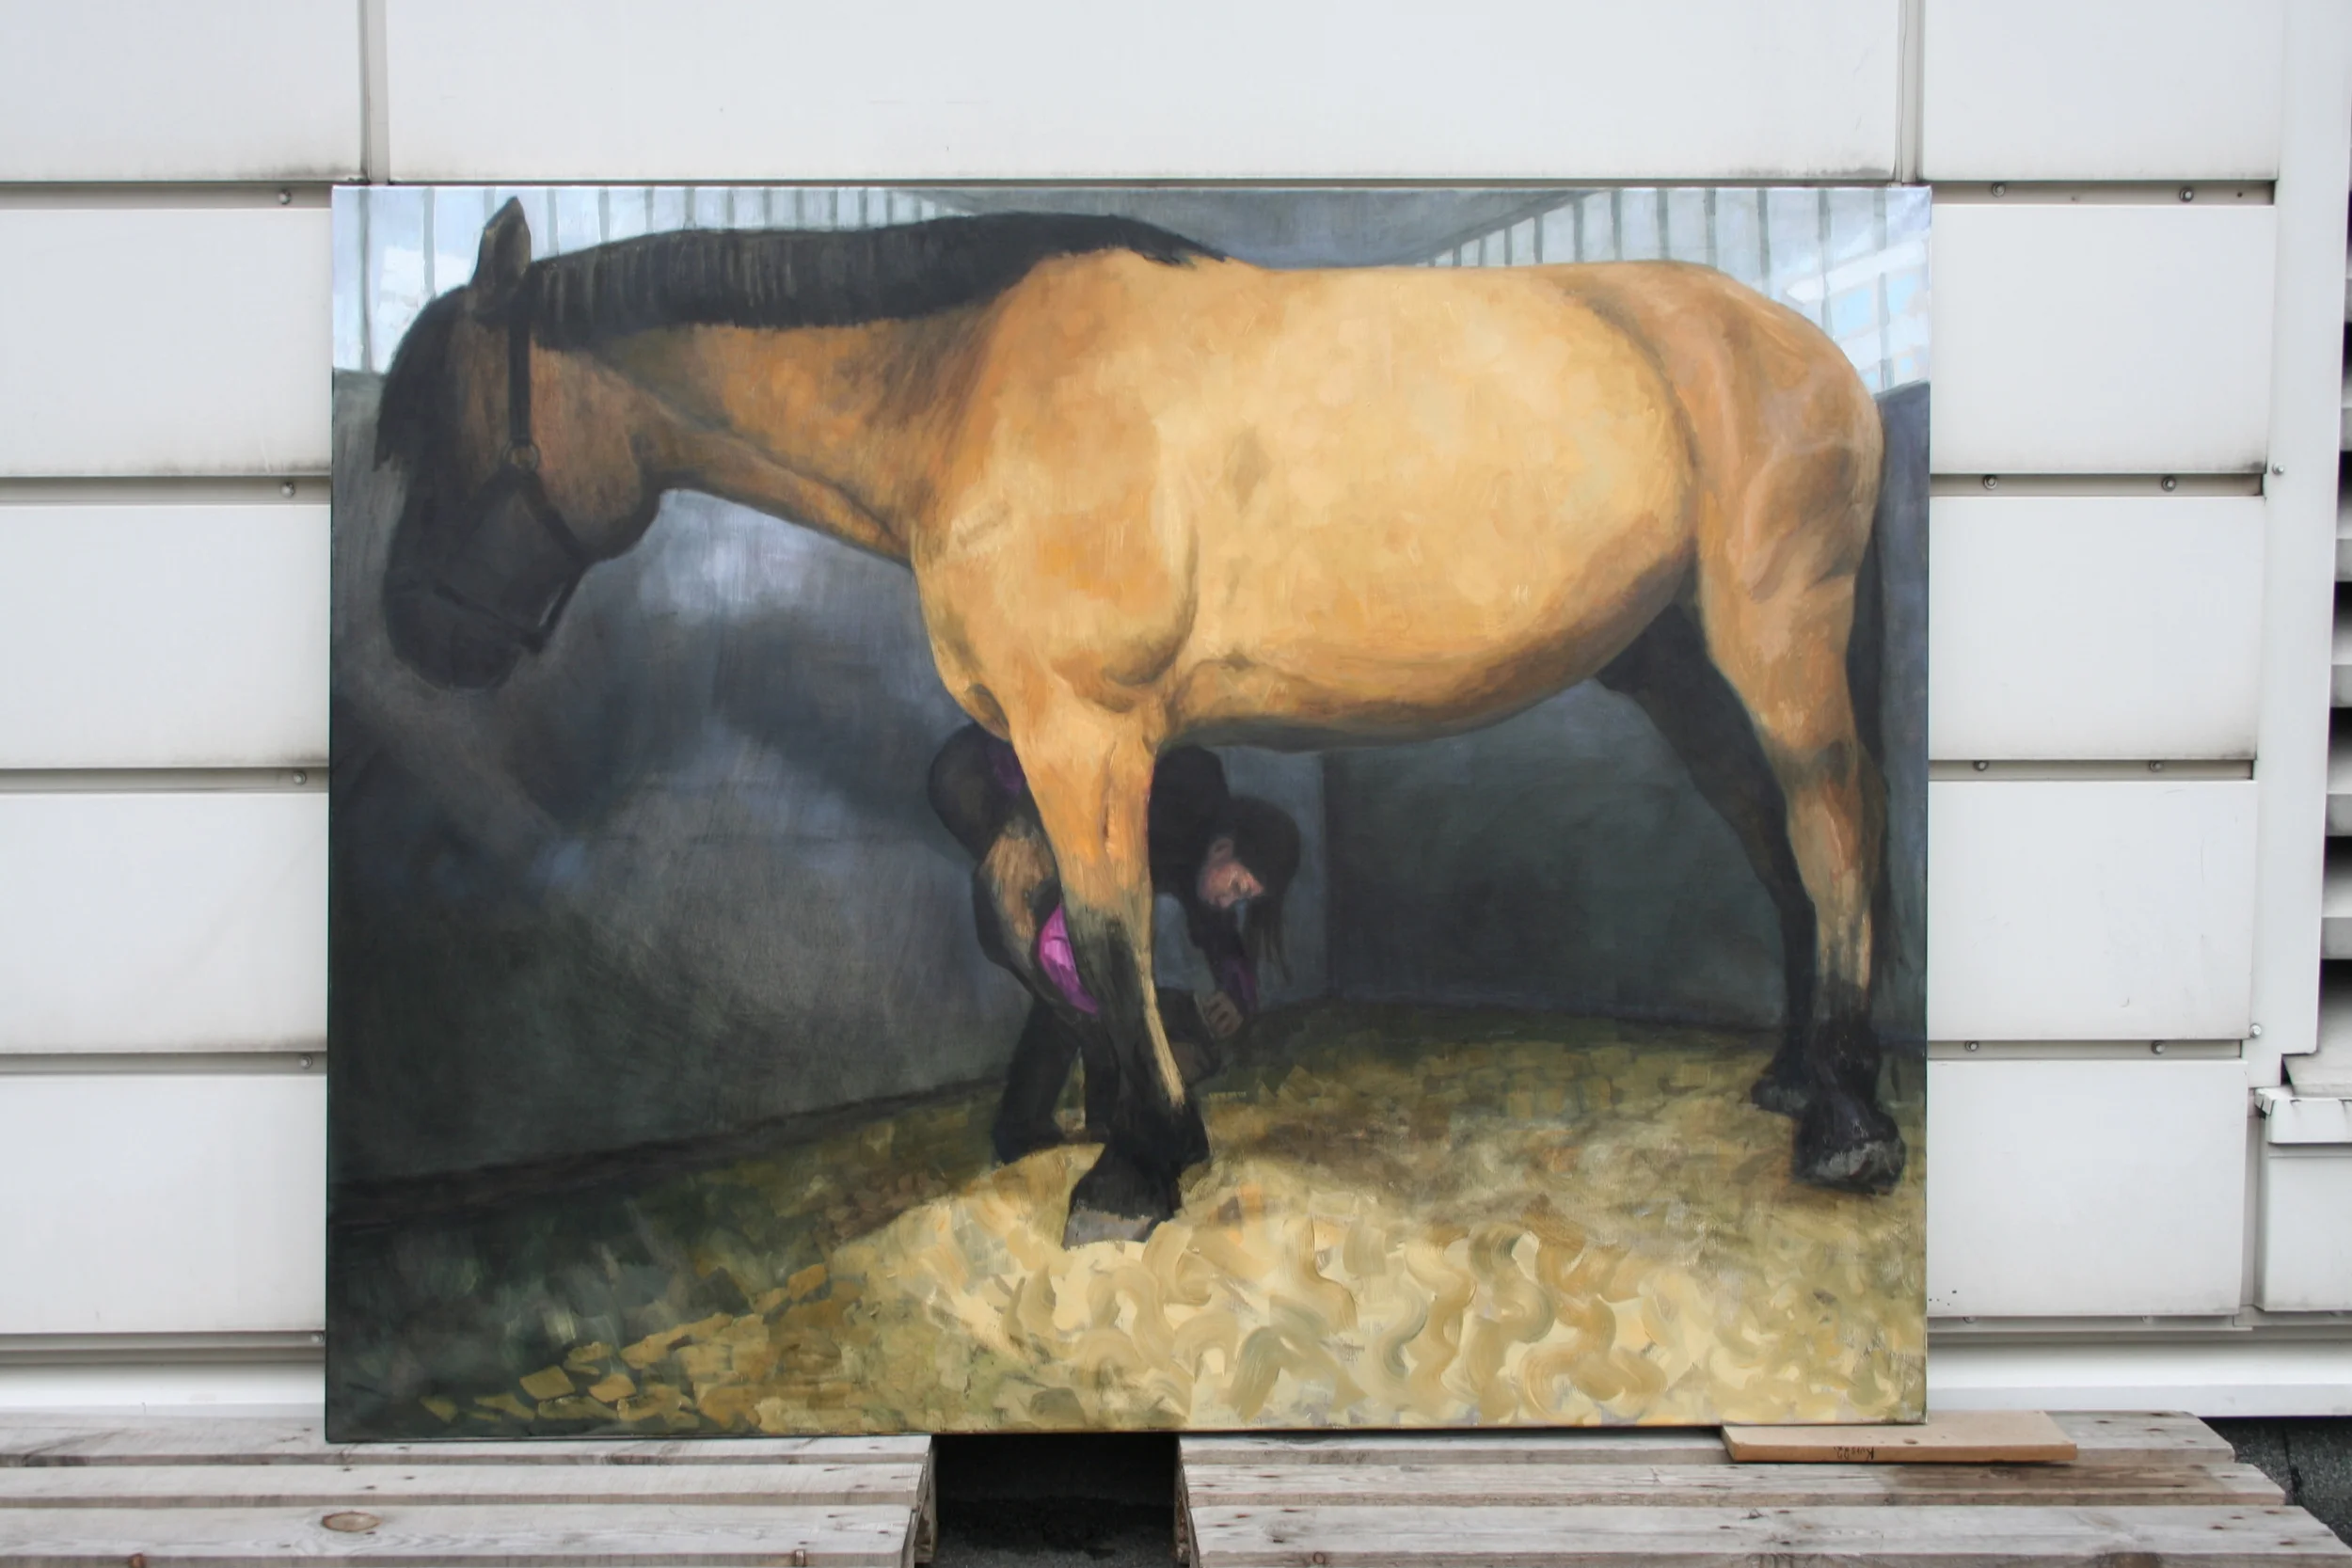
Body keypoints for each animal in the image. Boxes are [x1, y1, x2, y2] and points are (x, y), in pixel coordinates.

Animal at [372, 198, 1900, 1246]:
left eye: (436, 431)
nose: (416, 639)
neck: (970, 385)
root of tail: (1804, 347)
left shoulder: (1084, 729)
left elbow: (1107, 928)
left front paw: (1140, 1162)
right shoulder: (1032, 749)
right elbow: (1041, 921)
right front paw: (1099, 1113)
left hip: (1776, 640)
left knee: (1833, 831)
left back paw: (1848, 1127)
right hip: (1674, 667)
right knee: (1774, 842)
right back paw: (1789, 1077)